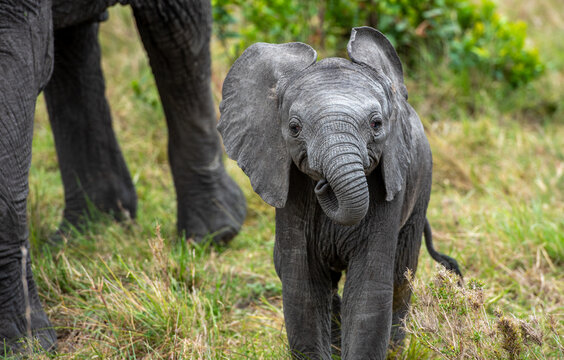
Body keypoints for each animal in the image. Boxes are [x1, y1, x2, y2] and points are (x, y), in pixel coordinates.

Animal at [218, 26, 460, 358]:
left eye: (376, 124)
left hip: (423, 183)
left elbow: (369, 290)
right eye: (294, 128)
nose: (323, 184)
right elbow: (303, 288)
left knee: (401, 275)